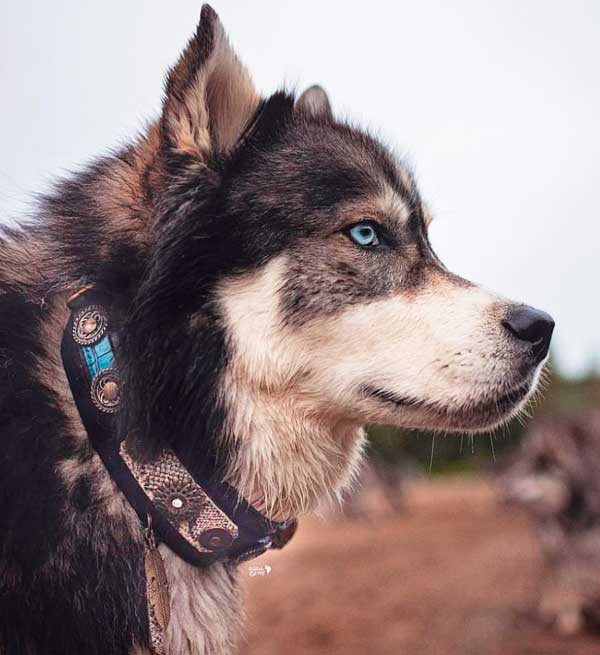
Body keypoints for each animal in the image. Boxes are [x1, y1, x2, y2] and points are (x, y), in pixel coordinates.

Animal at [500, 410, 600, 636]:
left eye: (543, 462)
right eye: (525, 460)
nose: (502, 484)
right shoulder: (562, 543)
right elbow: (566, 576)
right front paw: (568, 619)